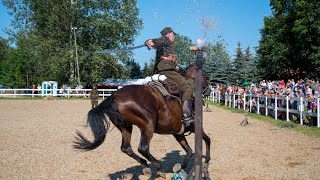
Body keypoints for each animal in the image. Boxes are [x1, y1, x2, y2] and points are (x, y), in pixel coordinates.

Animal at [73, 63, 211, 177]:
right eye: (205, 74)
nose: (209, 90)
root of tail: (115, 95)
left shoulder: (178, 132)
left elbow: (189, 151)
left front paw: (179, 168)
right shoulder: (195, 128)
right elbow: (207, 140)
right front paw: (206, 161)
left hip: (125, 127)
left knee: (126, 148)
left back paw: (145, 166)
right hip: (147, 126)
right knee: (143, 148)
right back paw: (159, 169)